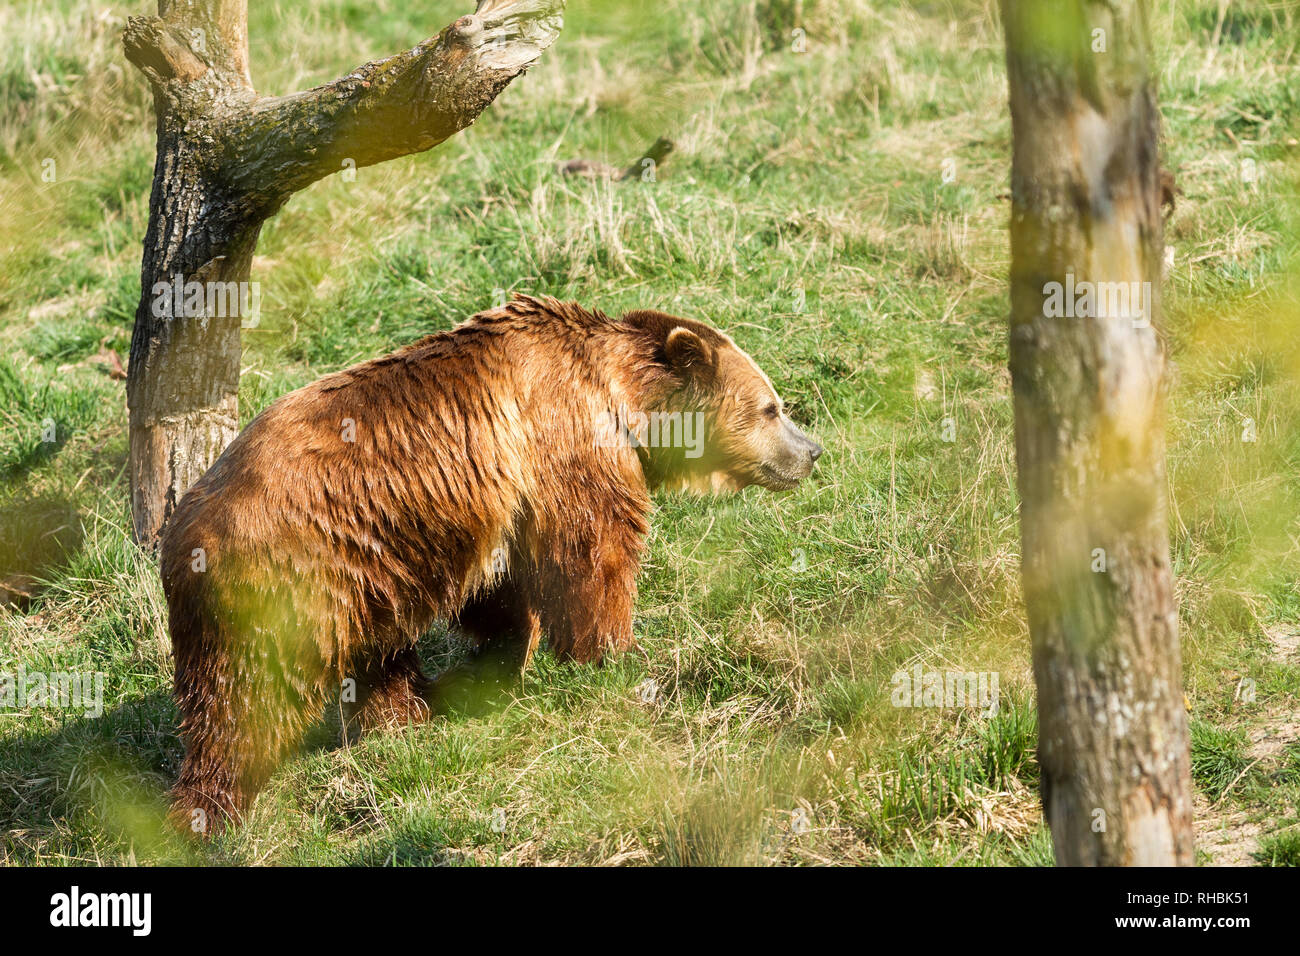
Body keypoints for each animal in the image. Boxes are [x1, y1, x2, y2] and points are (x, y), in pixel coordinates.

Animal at [160, 294, 823, 833]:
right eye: (770, 407)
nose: (812, 451)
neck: (624, 396)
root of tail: (180, 538)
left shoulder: (497, 503)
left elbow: (502, 591)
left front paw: (500, 666)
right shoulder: (562, 436)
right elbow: (592, 552)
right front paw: (619, 654)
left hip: (369, 570)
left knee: (375, 649)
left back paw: (409, 713)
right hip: (288, 578)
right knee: (243, 700)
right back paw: (207, 811)